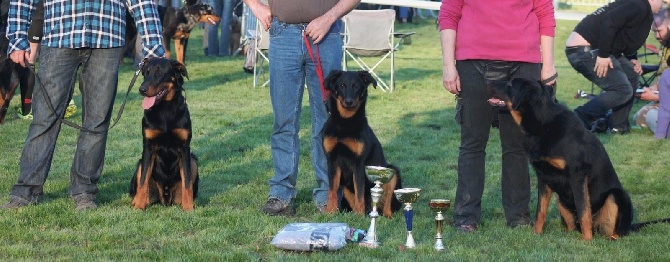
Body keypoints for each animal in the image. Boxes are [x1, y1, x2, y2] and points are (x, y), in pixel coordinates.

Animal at [130, 57, 200, 211]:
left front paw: (188, 209)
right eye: (146, 73)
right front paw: (139, 207)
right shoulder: (148, 147)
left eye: (159, 73)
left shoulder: (184, 148)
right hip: (140, 163)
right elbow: (143, 181)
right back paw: (136, 201)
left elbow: (187, 182)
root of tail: (166, 198)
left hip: (193, 160)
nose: (141, 89)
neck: (165, 109)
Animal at [322, 69, 402, 217]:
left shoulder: (358, 162)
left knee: (387, 201)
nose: (349, 101)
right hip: (346, 185)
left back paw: (385, 215)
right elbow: (332, 190)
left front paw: (359, 215)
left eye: (356, 86)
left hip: (393, 172)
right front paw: (330, 211)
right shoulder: (332, 160)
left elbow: (359, 189)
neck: (345, 123)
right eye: (342, 85)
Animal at [490, 77, 668, 239]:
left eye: (510, 84)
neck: (542, 123)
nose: (488, 81)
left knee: (614, 232)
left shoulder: (577, 176)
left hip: (617, 196)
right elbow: (540, 211)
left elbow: (584, 211)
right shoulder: (544, 177)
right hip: (561, 199)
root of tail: (630, 226)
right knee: (572, 226)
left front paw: (587, 242)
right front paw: (536, 234)